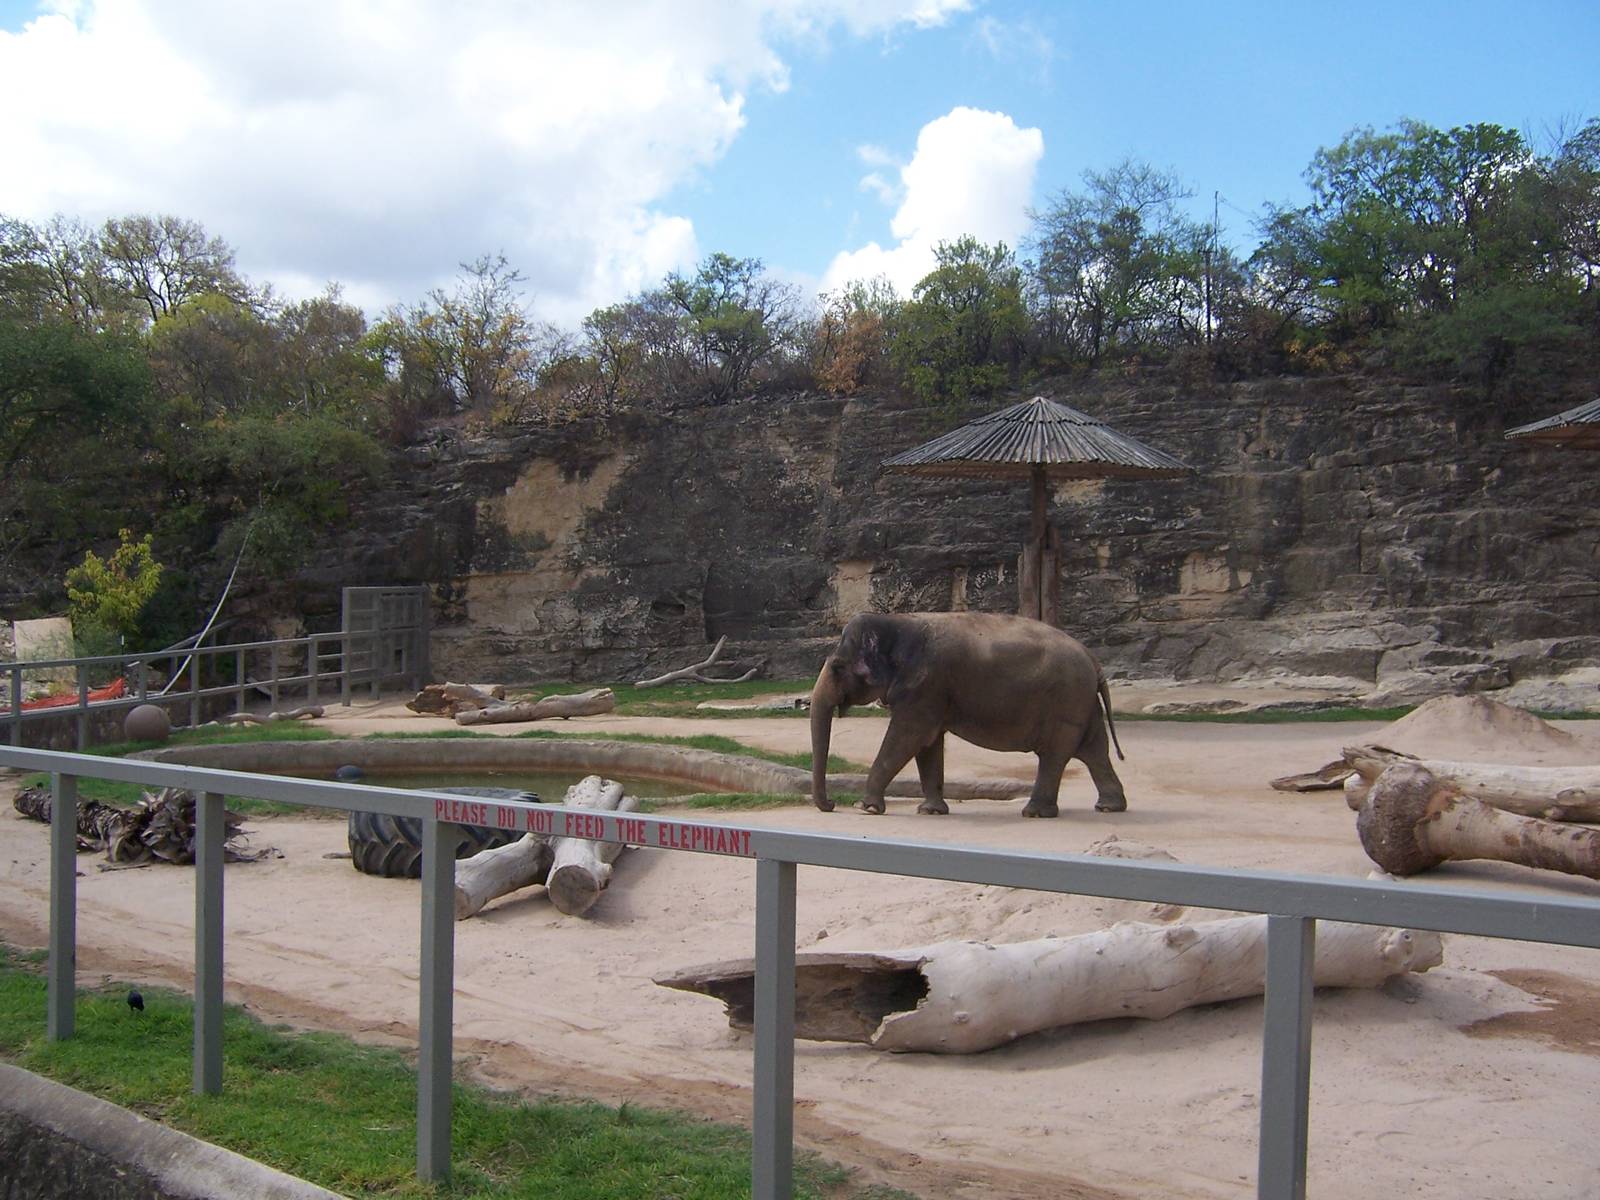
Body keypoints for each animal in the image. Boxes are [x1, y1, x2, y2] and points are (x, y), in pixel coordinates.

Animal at [810, 611, 1126, 818]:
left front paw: (867, 808)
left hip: (1066, 701)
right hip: (1082, 702)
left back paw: (1035, 813)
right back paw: (1108, 807)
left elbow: (907, 737)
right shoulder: (932, 694)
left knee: (1054, 755)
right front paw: (931, 812)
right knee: (1094, 751)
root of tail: (1093, 659)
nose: (833, 804)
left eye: (837, 667)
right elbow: (927, 744)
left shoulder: (926, 687)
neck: (899, 621)